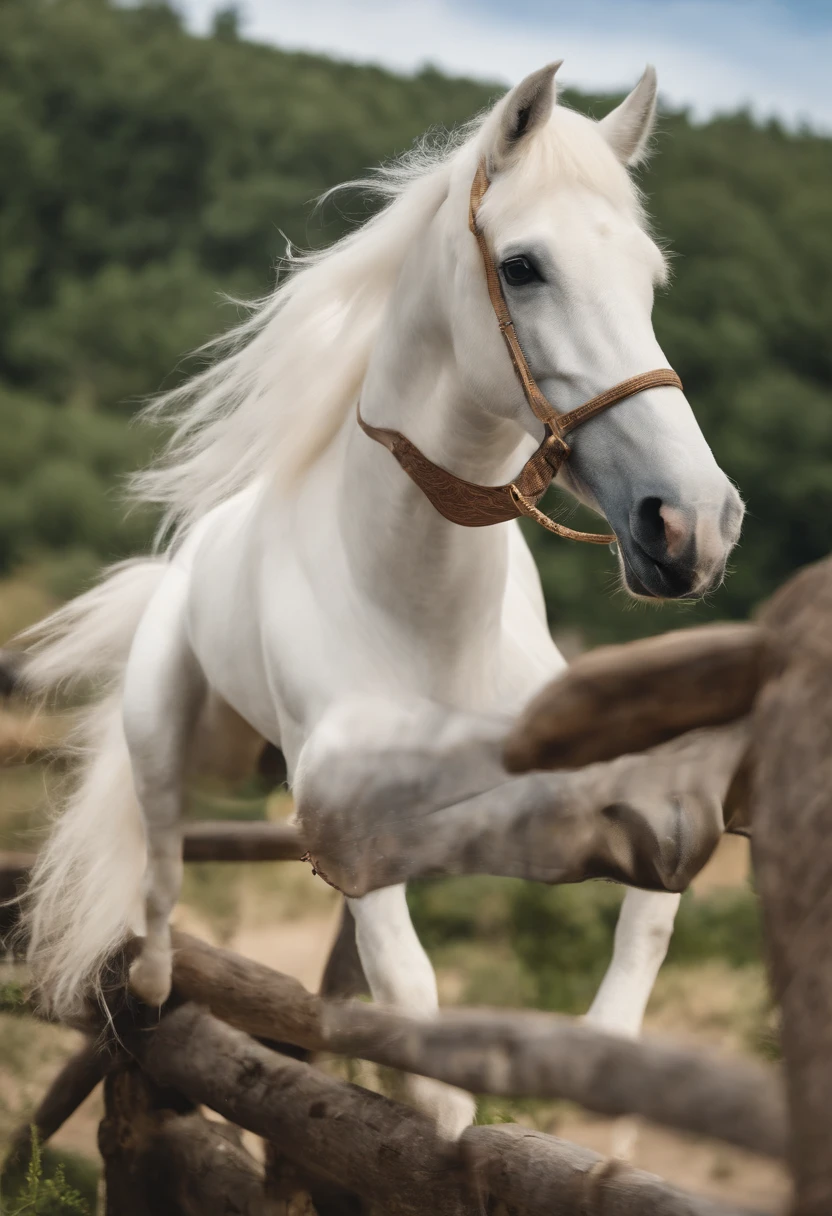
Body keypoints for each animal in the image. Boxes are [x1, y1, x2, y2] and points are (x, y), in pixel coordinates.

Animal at [16, 64, 739, 1128]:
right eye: (522, 267)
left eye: (649, 281)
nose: (693, 527)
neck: (421, 607)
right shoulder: (341, 806)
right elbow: (408, 983)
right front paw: (436, 1107)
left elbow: (654, 893)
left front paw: (603, 1069)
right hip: (168, 738)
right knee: (158, 869)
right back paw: (149, 984)